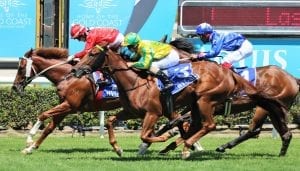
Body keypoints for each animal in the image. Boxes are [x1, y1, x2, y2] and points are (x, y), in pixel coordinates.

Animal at [74, 45, 292, 159]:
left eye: (92, 54)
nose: (75, 70)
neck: (135, 82)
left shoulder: (154, 112)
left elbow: (147, 134)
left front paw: (160, 139)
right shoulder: (131, 112)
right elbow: (111, 121)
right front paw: (117, 148)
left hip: (206, 100)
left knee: (210, 125)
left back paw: (188, 147)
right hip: (199, 103)